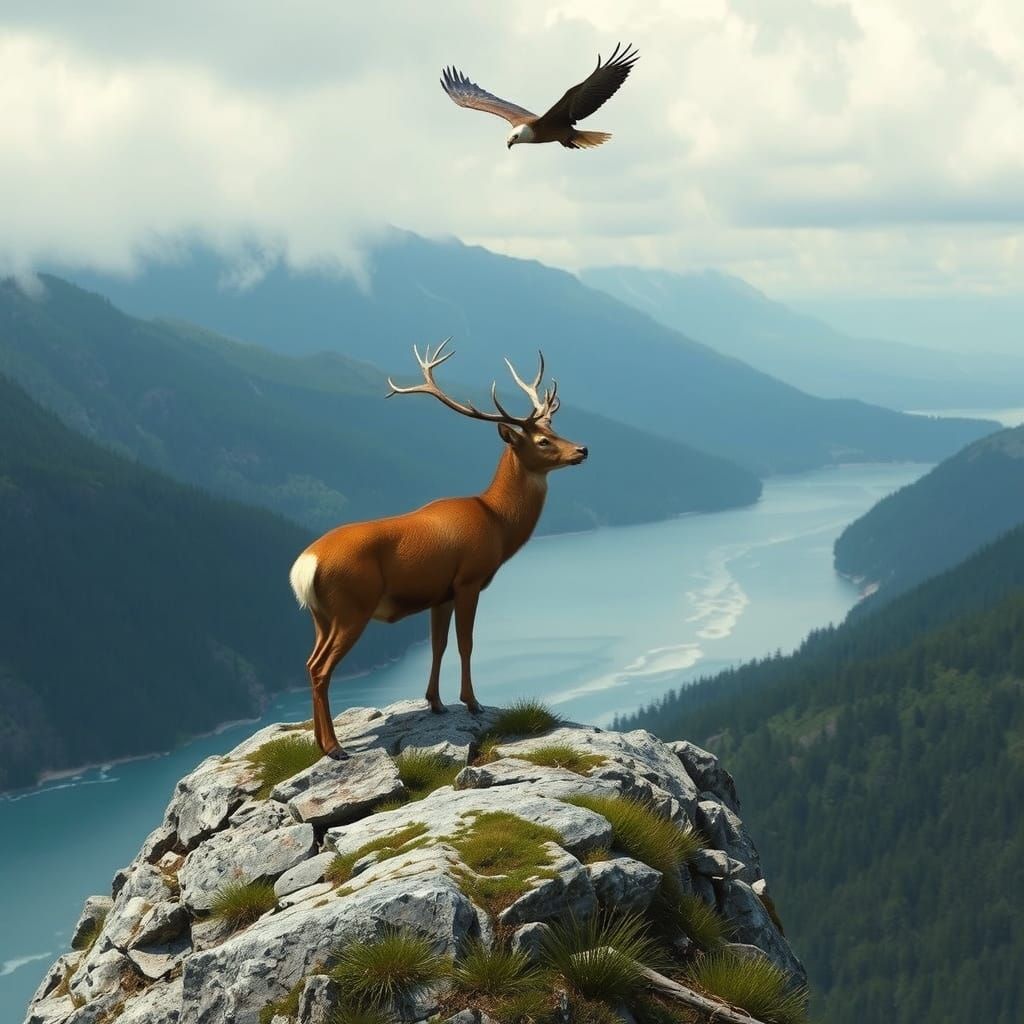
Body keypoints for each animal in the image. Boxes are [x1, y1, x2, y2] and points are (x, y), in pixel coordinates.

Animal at [288, 340, 588, 759]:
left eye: (553, 428)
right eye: (543, 440)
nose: (583, 449)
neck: (496, 522)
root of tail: (304, 567)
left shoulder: (439, 593)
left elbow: (438, 645)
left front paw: (435, 702)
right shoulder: (469, 579)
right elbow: (466, 643)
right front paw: (472, 701)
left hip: (321, 614)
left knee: (309, 661)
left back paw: (321, 742)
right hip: (352, 606)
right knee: (321, 668)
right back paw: (334, 747)